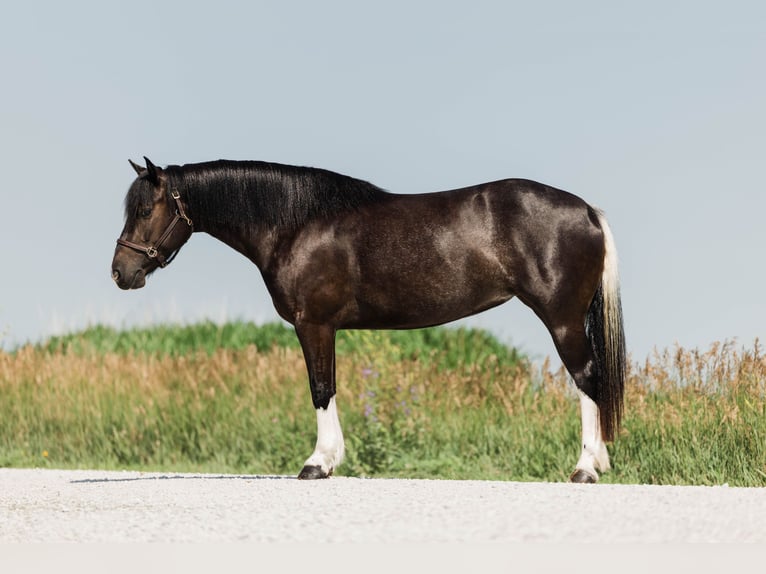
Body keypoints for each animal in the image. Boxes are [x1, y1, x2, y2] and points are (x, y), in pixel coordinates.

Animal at [111, 157, 626, 483]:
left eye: (144, 209)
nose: (121, 272)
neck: (296, 225)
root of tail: (587, 211)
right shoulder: (325, 328)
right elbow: (330, 387)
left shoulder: (314, 325)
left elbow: (321, 389)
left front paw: (318, 463)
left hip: (562, 320)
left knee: (587, 380)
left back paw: (585, 468)